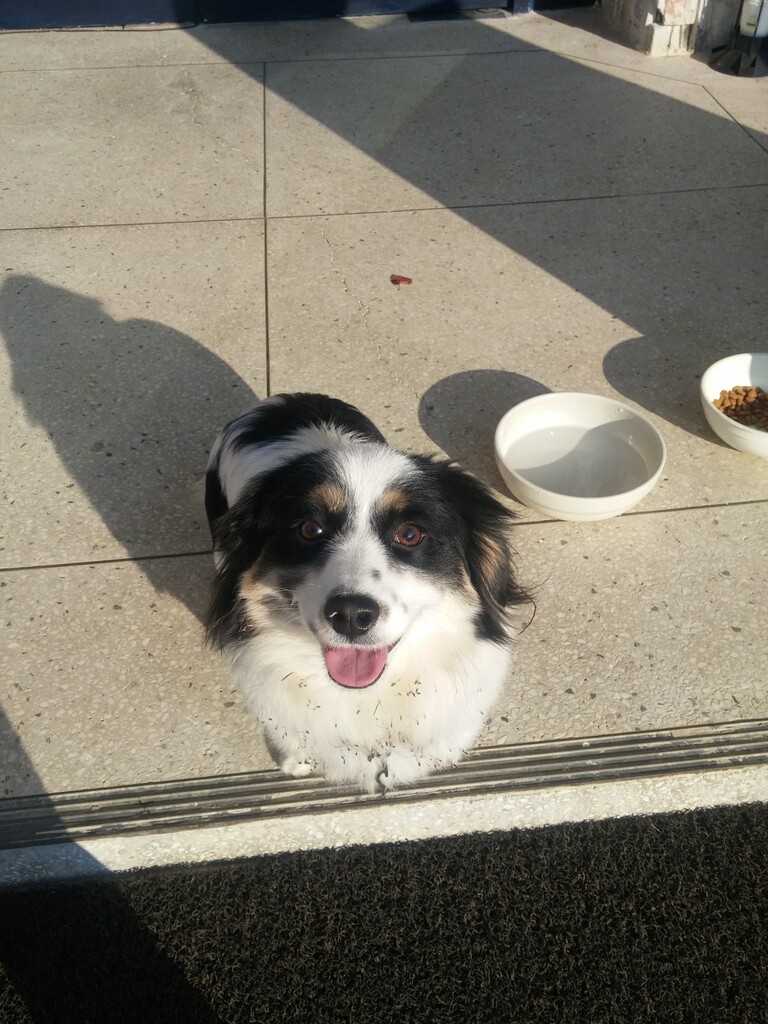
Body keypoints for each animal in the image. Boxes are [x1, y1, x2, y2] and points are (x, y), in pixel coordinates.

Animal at [205, 393, 529, 793]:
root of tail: (279, 402)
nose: (350, 614)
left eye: (410, 534)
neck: (369, 698)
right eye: (309, 528)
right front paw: (295, 758)